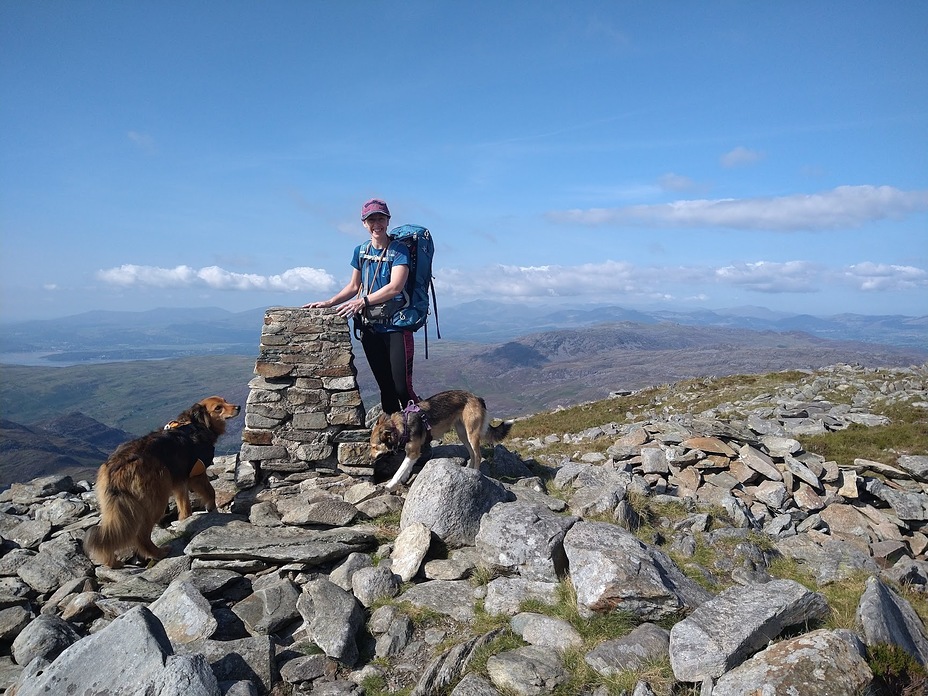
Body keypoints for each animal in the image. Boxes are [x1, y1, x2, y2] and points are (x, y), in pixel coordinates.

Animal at [84, 396, 241, 564]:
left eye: (225, 401)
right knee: (141, 535)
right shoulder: (196, 473)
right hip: (156, 499)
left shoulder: (179, 481)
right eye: (218, 408)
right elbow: (211, 492)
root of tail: (117, 466)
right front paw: (212, 508)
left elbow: (184, 507)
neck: (196, 424)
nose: (238, 407)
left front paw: (185, 519)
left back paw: (112, 563)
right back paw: (158, 553)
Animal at [370, 388, 516, 492]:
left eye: (374, 447)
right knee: (472, 454)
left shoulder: (413, 452)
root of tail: (477, 398)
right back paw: (468, 470)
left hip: (472, 433)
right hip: (462, 434)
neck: (401, 425)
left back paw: (476, 472)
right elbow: (405, 468)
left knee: (478, 455)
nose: (370, 458)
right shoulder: (412, 453)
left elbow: (399, 470)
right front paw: (404, 478)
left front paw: (390, 485)